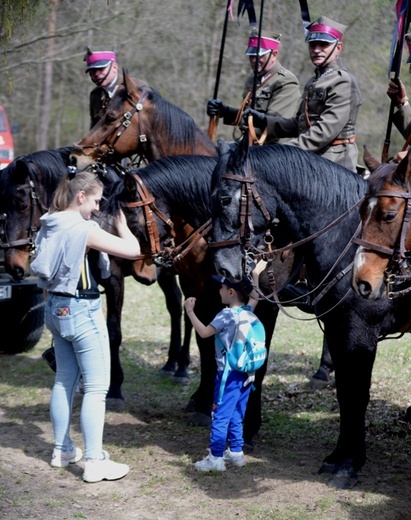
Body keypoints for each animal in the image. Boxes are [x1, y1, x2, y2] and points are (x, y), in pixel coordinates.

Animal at [0, 148, 190, 408]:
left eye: (21, 204)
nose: (13, 265)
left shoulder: (115, 281)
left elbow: (114, 331)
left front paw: (115, 388)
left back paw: (182, 368)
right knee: (174, 304)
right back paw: (171, 363)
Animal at [209, 137, 411, 488]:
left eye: (224, 198)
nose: (223, 267)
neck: (347, 243)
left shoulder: (359, 335)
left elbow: (357, 394)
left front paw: (348, 464)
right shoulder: (338, 329)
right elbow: (345, 393)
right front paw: (339, 457)